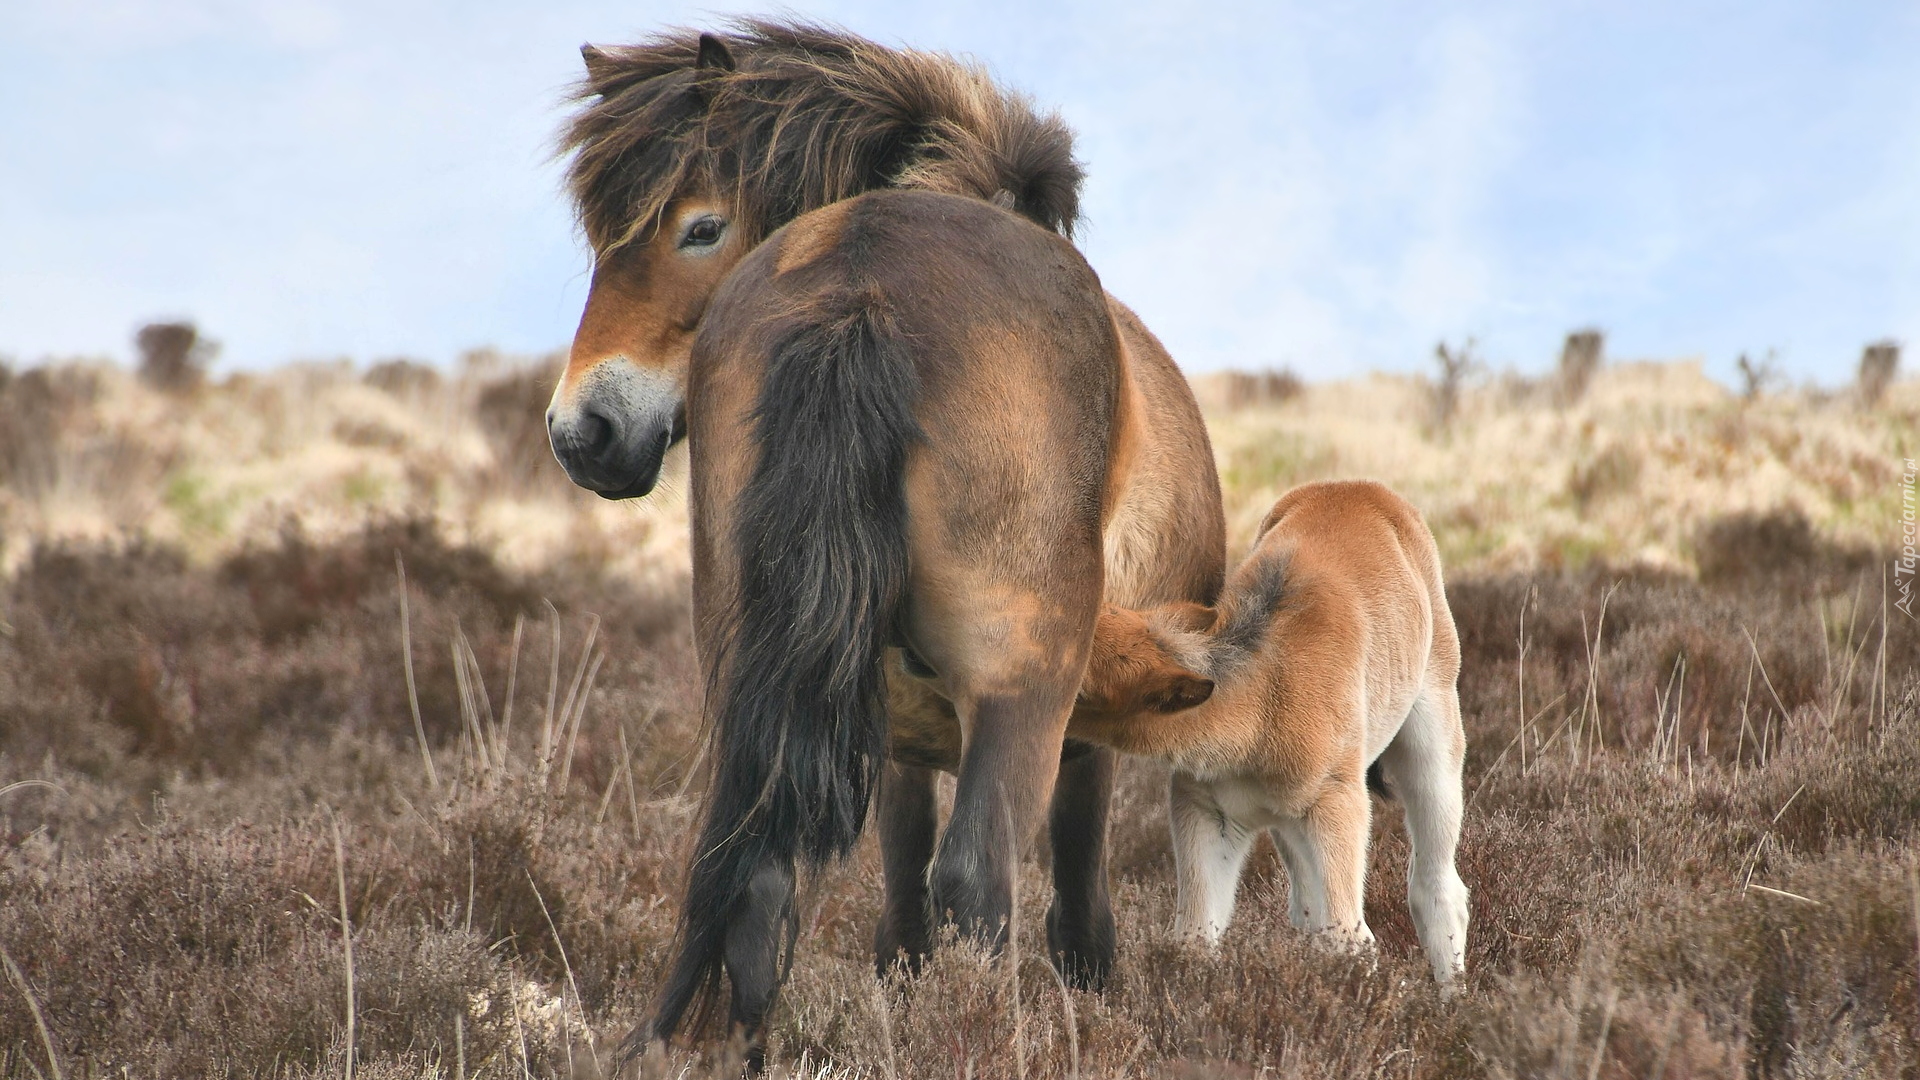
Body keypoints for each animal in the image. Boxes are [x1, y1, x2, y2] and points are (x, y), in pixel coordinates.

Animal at [545, 21, 1213, 1060]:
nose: (584, 432)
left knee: (758, 883)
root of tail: (859, 286)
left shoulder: (894, 727)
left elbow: (895, 909)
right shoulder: (1079, 728)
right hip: (1023, 688)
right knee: (978, 883)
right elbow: (1070, 899)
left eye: (700, 227)